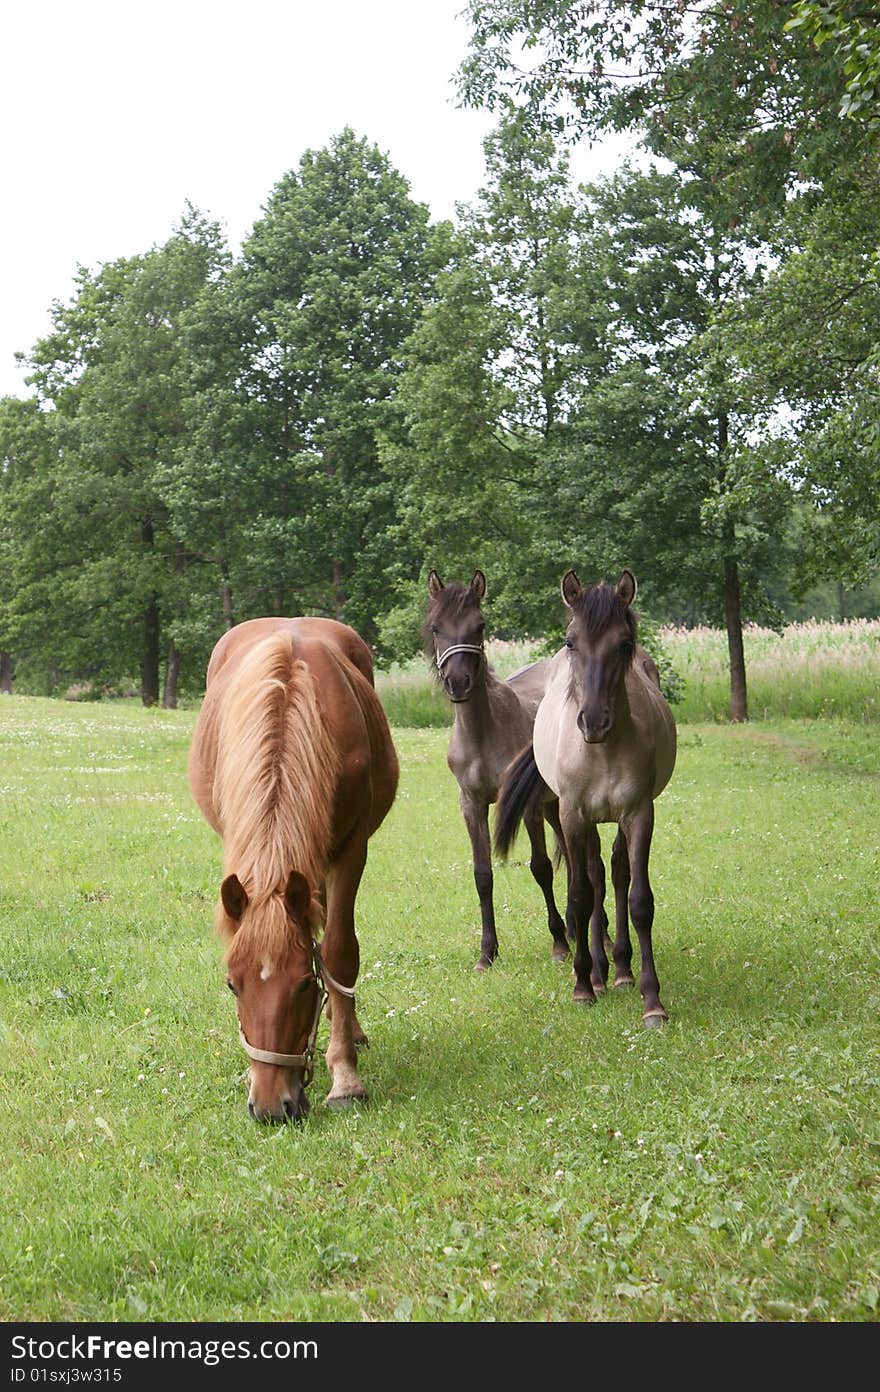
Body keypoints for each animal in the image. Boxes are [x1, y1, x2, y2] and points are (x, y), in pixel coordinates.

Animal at [192, 618, 401, 1119]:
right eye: (232, 985)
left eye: (305, 986)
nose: (271, 1106)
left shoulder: (351, 849)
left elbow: (340, 952)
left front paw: (345, 1079)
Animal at [423, 565, 587, 968]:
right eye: (435, 627)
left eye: (479, 625)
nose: (458, 682)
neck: (483, 732)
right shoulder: (471, 804)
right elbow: (483, 875)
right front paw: (487, 952)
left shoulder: (525, 805)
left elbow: (541, 868)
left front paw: (559, 944)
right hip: (552, 807)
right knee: (570, 858)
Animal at [498, 570, 676, 1030]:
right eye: (571, 641)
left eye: (624, 644)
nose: (593, 722)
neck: (602, 750)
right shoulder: (573, 816)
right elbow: (579, 897)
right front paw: (582, 986)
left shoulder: (639, 813)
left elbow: (639, 901)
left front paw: (652, 1000)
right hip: (583, 821)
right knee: (593, 877)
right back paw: (597, 972)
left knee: (614, 873)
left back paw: (621, 969)